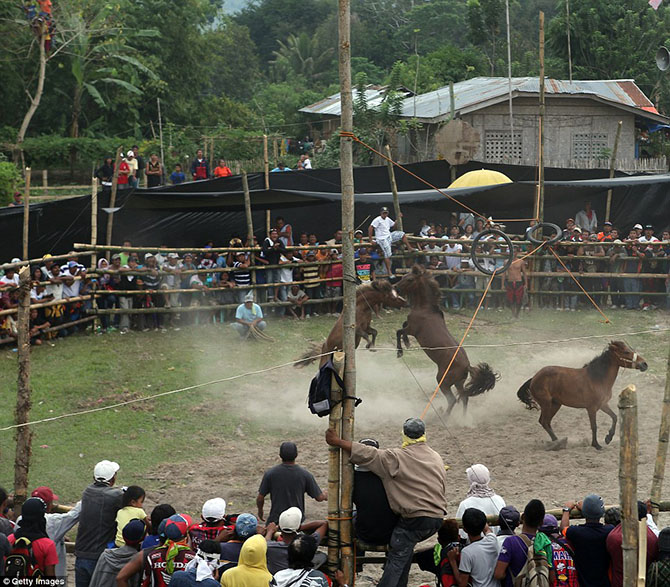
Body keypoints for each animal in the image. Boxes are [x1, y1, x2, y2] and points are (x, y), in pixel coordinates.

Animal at [394, 264, 498, 416]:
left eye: (410, 279)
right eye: (404, 276)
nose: (395, 287)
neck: (425, 309)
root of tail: (467, 366)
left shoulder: (413, 329)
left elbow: (399, 331)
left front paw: (400, 351)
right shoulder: (409, 326)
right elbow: (402, 326)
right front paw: (406, 343)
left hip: (443, 381)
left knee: (453, 399)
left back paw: (444, 416)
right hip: (458, 382)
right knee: (464, 397)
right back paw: (463, 418)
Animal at [516, 340, 648, 450]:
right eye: (626, 352)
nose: (644, 364)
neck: (597, 378)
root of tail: (534, 378)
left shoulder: (602, 404)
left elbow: (614, 417)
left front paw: (608, 438)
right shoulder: (591, 408)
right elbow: (594, 426)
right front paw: (596, 444)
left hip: (555, 404)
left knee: (546, 422)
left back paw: (558, 441)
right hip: (546, 404)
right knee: (544, 421)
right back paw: (557, 443)